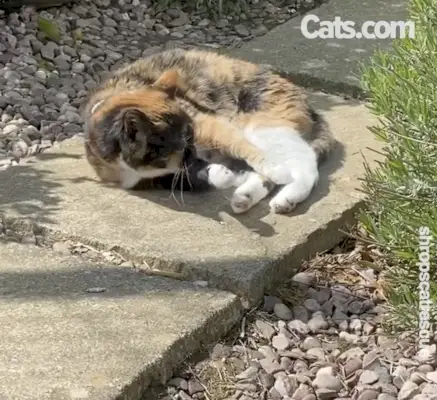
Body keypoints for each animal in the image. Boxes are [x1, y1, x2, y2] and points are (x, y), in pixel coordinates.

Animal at [82, 48, 334, 214]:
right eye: (182, 147)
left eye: (191, 136)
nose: (195, 152)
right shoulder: (153, 180)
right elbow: (195, 179)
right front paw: (225, 175)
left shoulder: (208, 122)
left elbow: (240, 146)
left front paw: (263, 170)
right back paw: (244, 197)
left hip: (262, 125)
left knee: (304, 162)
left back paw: (287, 196)